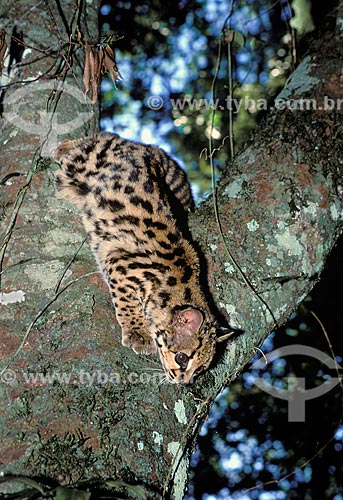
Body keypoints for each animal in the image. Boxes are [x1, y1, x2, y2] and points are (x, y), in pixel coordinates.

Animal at [52, 132, 232, 382]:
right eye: (182, 358)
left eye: (201, 369)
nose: (185, 383)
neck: (181, 280)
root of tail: (145, 149)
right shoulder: (118, 263)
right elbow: (126, 304)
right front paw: (138, 333)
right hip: (84, 164)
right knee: (98, 139)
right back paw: (62, 148)